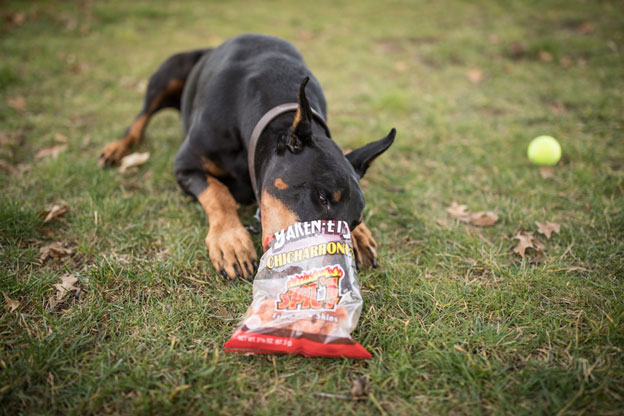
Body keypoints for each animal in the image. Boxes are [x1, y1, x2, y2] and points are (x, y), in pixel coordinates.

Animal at [100, 34, 398, 282]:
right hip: (168, 72)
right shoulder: (185, 165)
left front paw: (361, 236)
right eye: (323, 198)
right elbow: (218, 193)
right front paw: (231, 242)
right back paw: (117, 148)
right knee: (141, 118)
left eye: (355, 220)